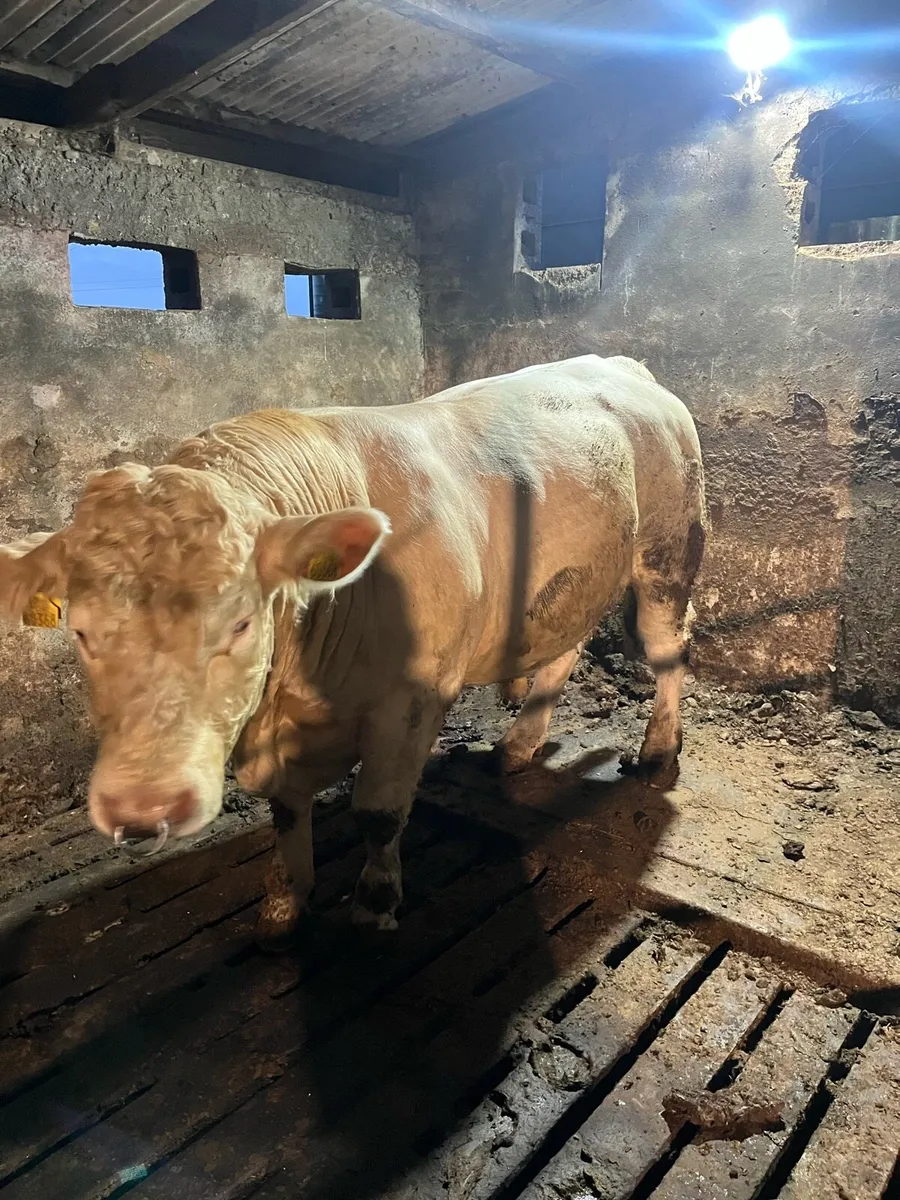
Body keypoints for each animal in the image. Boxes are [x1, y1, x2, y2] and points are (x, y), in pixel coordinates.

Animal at [0, 355, 705, 947]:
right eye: (80, 630)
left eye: (240, 622)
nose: (143, 808)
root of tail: (619, 362)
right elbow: (287, 812)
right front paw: (286, 903)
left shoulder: (411, 700)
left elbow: (378, 814)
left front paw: (374, 903)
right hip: (574, 577)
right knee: (564, 646)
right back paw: (518, 745)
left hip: (669, 551)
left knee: (671, 648)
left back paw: (658, 751)